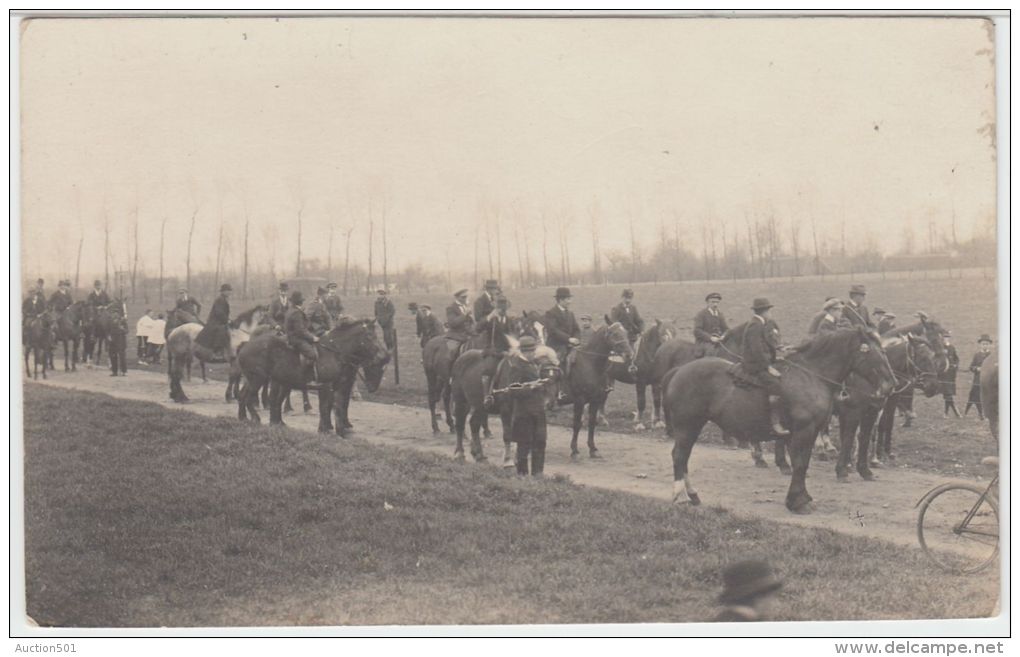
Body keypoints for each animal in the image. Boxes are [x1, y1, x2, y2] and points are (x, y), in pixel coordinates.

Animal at [236, 316, 387, 434]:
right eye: (369, 336)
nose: (382, 356)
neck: (334, 351)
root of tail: (245, 345)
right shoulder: (326, 386)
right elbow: (326, 406)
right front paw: (326, 429)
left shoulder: (338, 385)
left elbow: (336, 405)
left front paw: (335, 428)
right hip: (258, 379)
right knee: (250, 398)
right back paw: (256, 418)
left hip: (258, 380)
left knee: (245, 395)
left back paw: (244, 418)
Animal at [660, 326, 893, 516]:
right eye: (873, 351)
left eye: (884, 350)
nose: (890, 383)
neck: (812, 375)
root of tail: (679, 370)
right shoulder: (804, 431)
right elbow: (800, 464)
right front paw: (797, 502)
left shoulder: (811, 432)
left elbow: (803, 463)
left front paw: (802, 497)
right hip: (687, 425)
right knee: (679, 456)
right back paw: (680, 497)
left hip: (694, 425)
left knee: (684, 458)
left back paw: (693, 495)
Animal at [836, 334, 938, 481]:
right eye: (923, 357)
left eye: (933, 357)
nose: (934, 386)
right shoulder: (854, 411)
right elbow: (850, 436)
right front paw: (845, 467)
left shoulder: (877, 408)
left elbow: (872, 432)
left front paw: (869, 465)